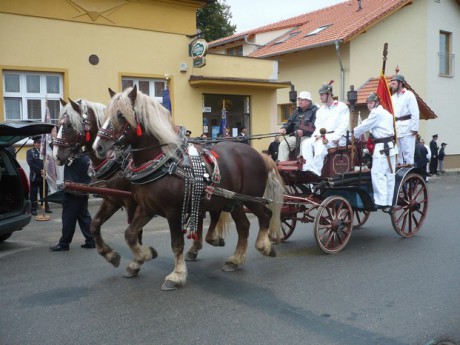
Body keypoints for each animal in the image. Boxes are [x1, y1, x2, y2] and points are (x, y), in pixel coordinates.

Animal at [52, 98, 149, 268]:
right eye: (58, 125)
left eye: (70, 125)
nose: (56, 156)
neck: (117, 161)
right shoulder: (112, 199)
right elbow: (95, 224)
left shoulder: (132, 201)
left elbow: (136, 231)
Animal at [93, 84, 284, 288]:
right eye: (104, 116)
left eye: (121, 115)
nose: (98, 147)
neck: (163, 163)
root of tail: (259, 154)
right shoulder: (146, 208)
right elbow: (129, 234)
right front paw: (143, 256)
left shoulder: (173, 211)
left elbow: (176, 243)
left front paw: (176, 275)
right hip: (234, 202)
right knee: (244, 226)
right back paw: (235, 260)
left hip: (252, 199)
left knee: (266, 215)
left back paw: (264, 246)